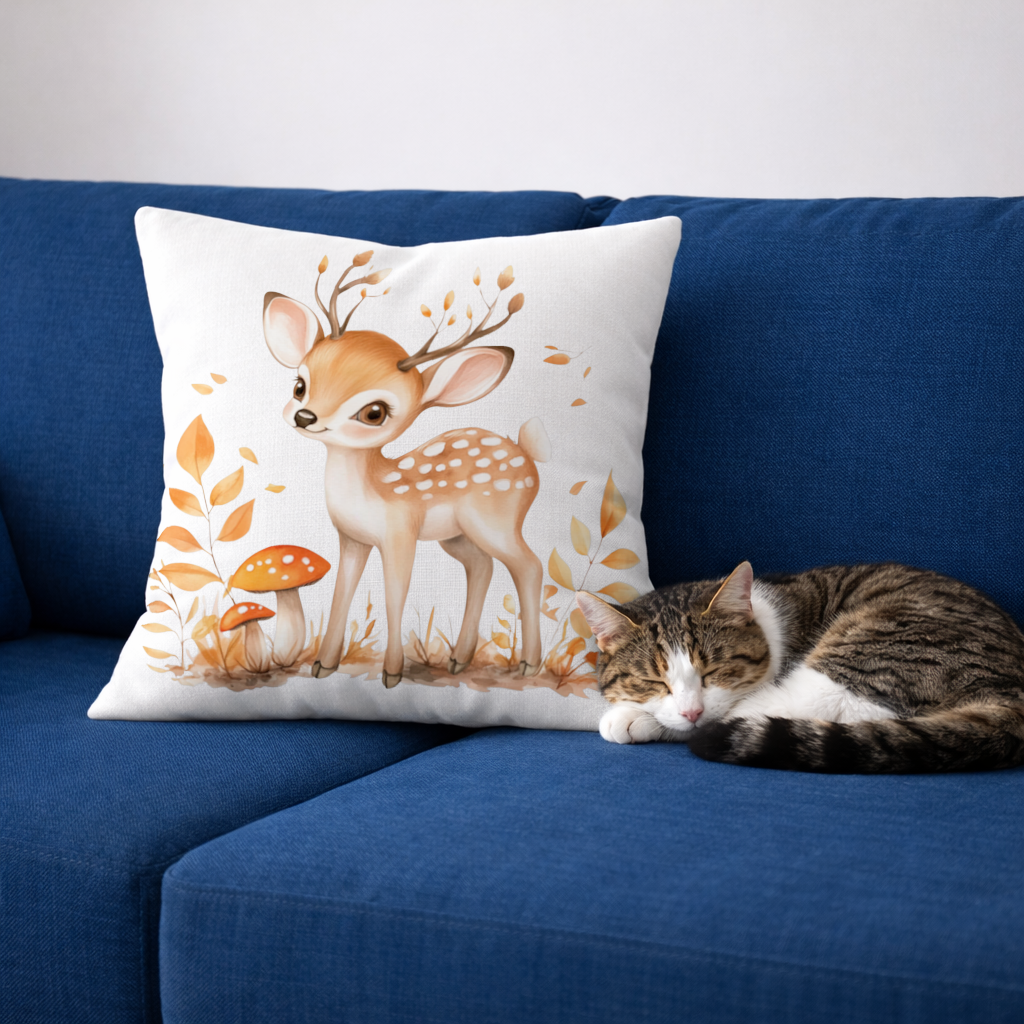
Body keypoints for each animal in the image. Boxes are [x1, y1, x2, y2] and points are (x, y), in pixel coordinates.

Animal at [262, 252, 549, 688]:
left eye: (374, 413)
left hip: (495, 521)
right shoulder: (352, 539)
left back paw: (529, 664)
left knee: (529, 567)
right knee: (482, 566)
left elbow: (395, 594)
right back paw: (459, 658)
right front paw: (324, 665)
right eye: (300, 385)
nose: (305, 416)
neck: (373, 489)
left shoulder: (400, 534)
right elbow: (342, 592)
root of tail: (527, 453)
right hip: (457, 535)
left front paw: (392, 673)